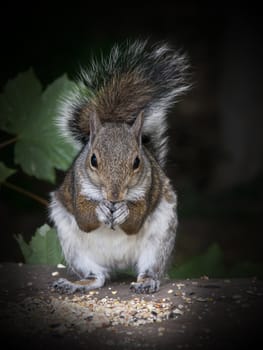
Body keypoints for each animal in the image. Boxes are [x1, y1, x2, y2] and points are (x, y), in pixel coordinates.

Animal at [49, 39, 190, 294]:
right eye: (93, 160)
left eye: (137, 162)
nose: (114, 197)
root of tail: (119, 262)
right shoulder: (76, 186)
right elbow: (84, 218)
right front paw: (100, 209)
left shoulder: (150, 188)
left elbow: (135, 221)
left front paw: (124, 210)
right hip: (75, 247)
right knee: (97, 276)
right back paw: (75, 284)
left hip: (159, 240)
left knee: (150, 268)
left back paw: (147, 281)